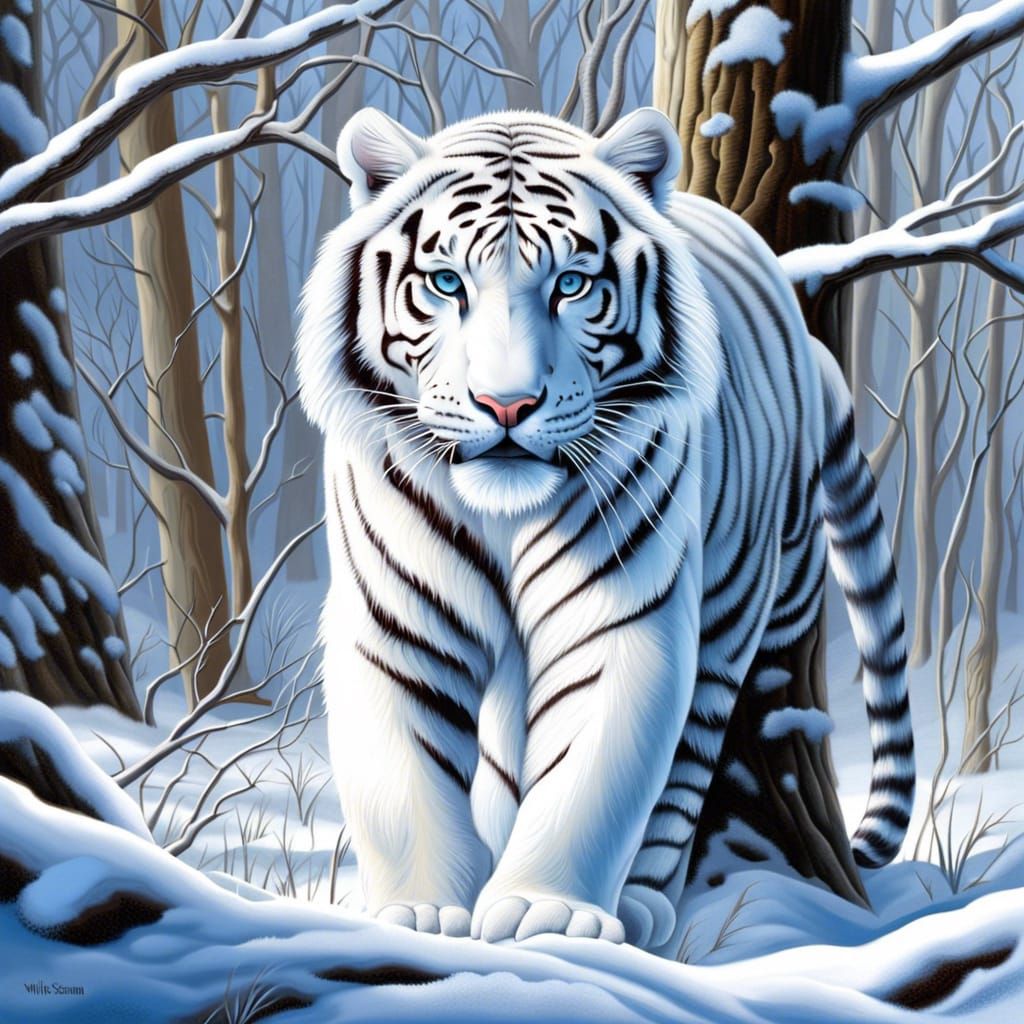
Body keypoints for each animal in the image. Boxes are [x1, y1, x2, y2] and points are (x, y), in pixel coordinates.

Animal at [296, 106, 914, 957]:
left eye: (572, 284)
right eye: (447, 282)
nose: (507, 405)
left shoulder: (617, 611)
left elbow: (589, 772)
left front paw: (543, 911)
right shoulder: (396, 618)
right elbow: (405, 774)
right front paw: (422, 913)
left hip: (731, 611)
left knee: (685, 765)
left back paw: (642, 905)